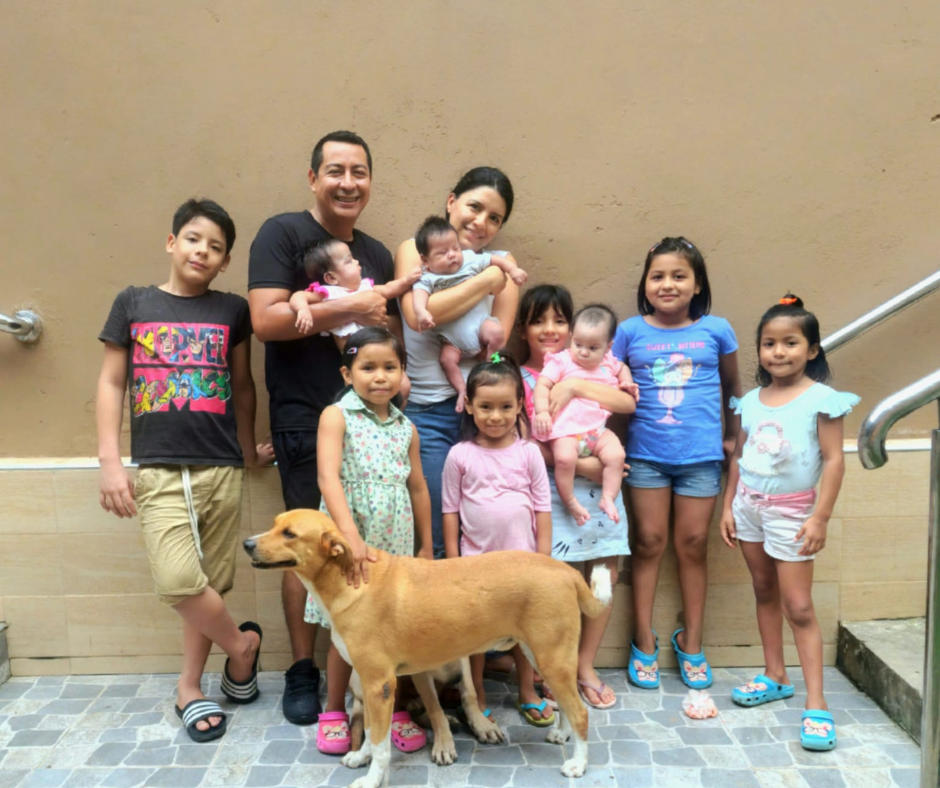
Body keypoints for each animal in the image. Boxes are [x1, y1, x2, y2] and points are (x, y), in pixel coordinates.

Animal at [244, 510, 612, 788]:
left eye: (289, 534)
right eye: (275, 524)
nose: (247, 543)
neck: (348, 579)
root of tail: (565, 570)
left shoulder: (379, 684)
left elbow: (380, 743)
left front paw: (372, 778)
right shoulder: (369, 684)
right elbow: (369, 733)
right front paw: (361, 757)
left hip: (551, 656)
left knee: (580, 711)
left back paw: (578, 764)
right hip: (543, 655)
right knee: (565, 705)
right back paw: (562, 735)